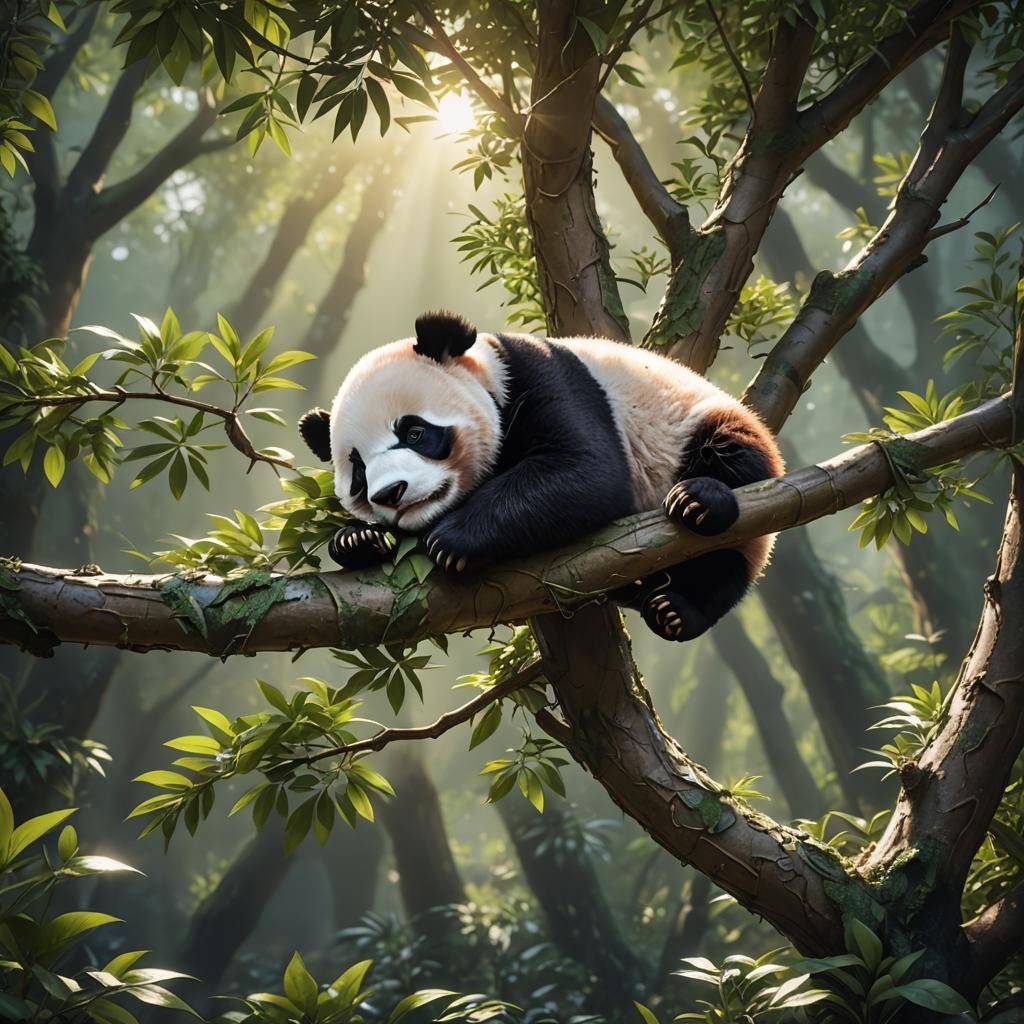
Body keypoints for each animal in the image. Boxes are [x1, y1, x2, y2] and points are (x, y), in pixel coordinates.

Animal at [298, 311, 783, 642]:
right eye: (359, 473)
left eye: (415, 432)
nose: (391, 493)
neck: (486, 369)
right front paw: (358, 540)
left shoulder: (547, 377)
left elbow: (586, 470)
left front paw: (452, 540)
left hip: (698, 428)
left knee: (734, 484)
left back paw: (694, 534)